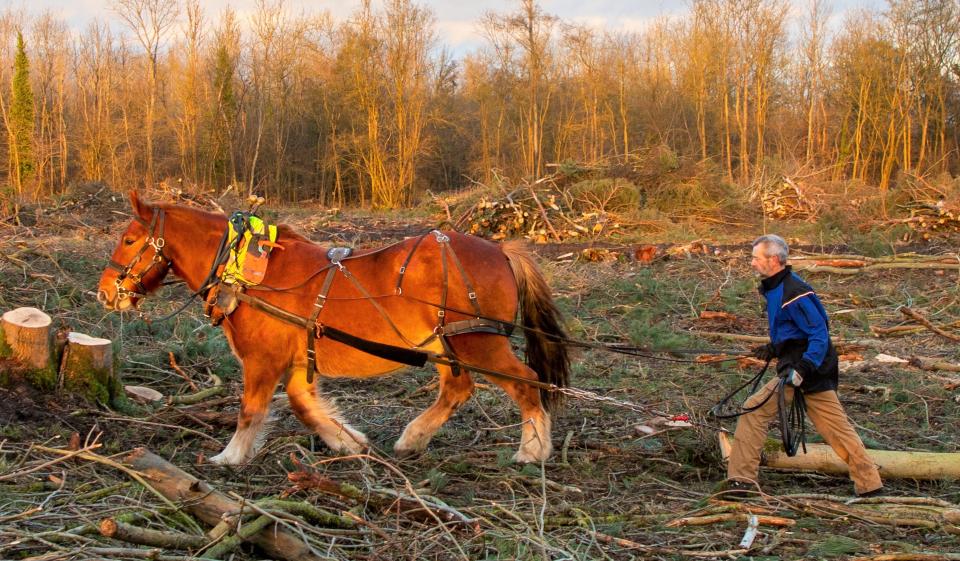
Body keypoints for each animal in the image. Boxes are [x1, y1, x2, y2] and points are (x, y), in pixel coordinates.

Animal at [99, 192, 568, 464]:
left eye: (128, 240)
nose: (105, 292)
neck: (248, 272)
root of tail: (501, 249)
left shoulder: (262, 360)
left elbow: (250, 410)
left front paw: (229, 457)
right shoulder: (297, 360)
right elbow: (304, 405)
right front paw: (348, 442)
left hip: (478, 343)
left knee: (527, 382)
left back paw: (532, 450)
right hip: (445, 345)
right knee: (458, 388)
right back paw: (412, 439)